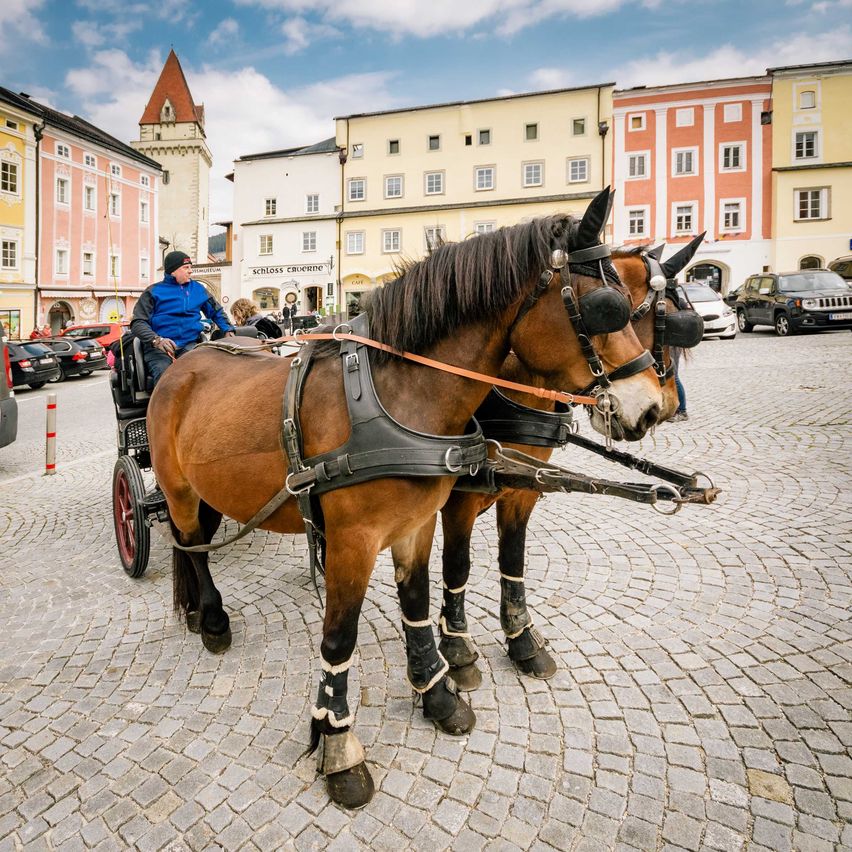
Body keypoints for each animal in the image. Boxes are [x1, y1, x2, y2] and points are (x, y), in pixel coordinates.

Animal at [147, 187, 665, 809]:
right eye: (608, 307)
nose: (652, 406)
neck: (400, 395)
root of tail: (187, 359)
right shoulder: (356, 541)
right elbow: (339, 638)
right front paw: (338, 746)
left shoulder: (421, 522)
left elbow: (419, 602)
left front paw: (437, 694)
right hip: (177, 490)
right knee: (191, 545)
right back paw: (212, 618)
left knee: (194, 543)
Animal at [436, 235, 707, 688]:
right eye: (612, 313)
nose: (657, 408)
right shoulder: (459, 498)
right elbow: (457, 566)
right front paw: (457, 650)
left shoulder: (524, 490)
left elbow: (513, 559)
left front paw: (523, 640)